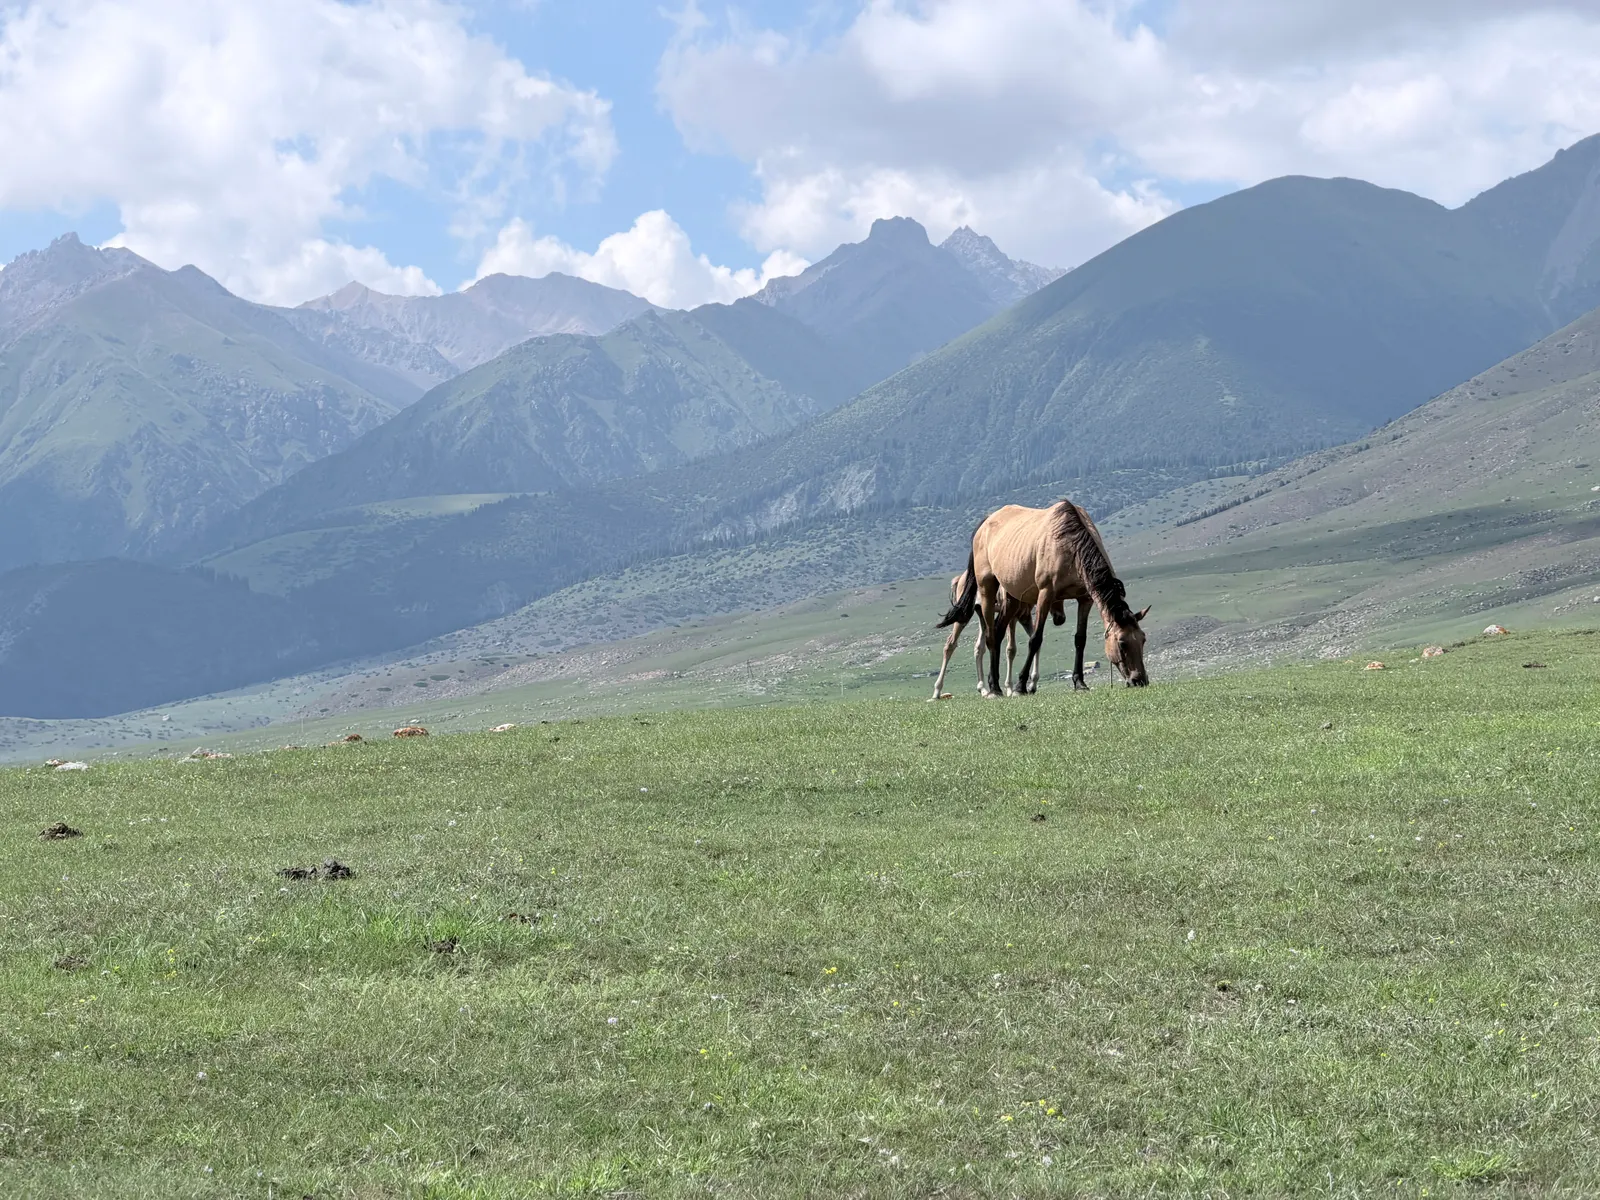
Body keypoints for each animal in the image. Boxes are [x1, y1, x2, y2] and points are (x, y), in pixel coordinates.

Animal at [929, 572, 1062, 700]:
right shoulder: (1013, 615)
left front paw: (1032, 685)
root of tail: (959, 579)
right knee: (950, 644)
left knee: (979, 647)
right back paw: (936, 691)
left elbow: (1034, 640)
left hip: (981, 613)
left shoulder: (1025, 616)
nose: (1060, 618)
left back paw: (982, 689)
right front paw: (1010, 688)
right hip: (964, 613)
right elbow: (1011, 649)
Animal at [939, 500, 1150, 695]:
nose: (1140, 680)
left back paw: (994, 684)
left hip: (1012, 597)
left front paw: (1079, 683)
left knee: (998, 633)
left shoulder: (1085, 599)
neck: (1069, 545)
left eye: (1143, 639)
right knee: (989, 636)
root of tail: (985, 523)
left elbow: (1080, 639)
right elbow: (1035, 640)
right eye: (1122, 643)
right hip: (986, 587)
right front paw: (1020, 686)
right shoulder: (1045, 594)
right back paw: (993, 690)